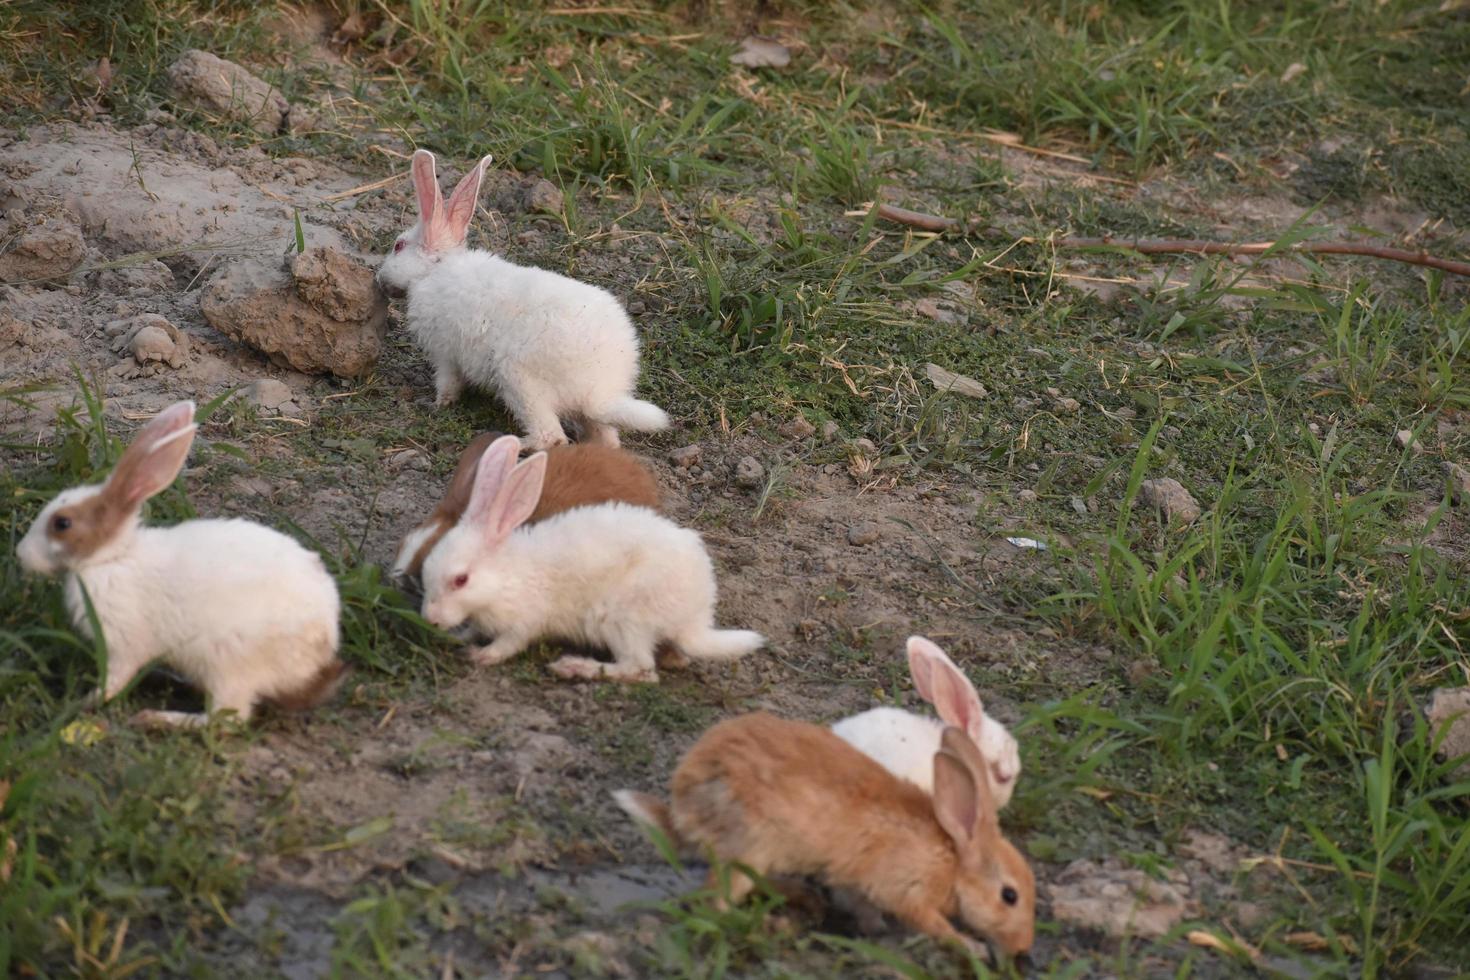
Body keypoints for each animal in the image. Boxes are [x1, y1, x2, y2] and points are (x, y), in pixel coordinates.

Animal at [18, 399, 345, 728]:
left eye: (62, 524)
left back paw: (156, 717)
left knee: (225, 718)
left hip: (229, 666)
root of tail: (323, 645)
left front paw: (83, 703)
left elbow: (114, 681)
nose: (22, 554)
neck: (113, 556)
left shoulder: (123, 647)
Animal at [376, 150, 670, 452]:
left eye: (398, 246)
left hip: (520, 381)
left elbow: (448, 383)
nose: (380, 280)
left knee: (551, 437)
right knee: (606, 440)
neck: (434, 269)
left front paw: (438, 404)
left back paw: (511, 442)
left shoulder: (446, 354)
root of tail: (600, 391)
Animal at [414, 434, 758, 681]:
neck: (506, 576)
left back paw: (574, 667)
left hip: (623, 622)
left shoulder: (525, 622)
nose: (430, 618)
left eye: (461, 580)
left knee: (641, 670)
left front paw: (480, 656)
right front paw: (461, 636)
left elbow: (508, 645)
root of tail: (695, 621)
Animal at [614, 708, 1040, 963]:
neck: (953, 858)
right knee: (714, 903)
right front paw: (971, 947)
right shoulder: (908, 891)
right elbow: (932, 924)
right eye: (1010, 896)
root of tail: (683, 805)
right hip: (751, 844)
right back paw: (773, 924)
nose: (1023, 948)